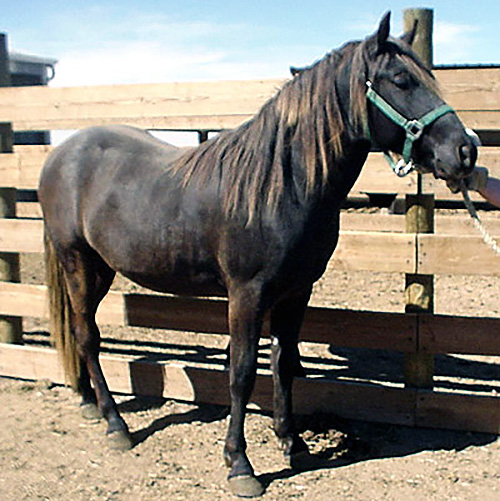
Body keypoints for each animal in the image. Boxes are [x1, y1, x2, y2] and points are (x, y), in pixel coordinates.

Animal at [38, 12, 477, 498]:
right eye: (401, 80)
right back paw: (116, 425)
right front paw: (239, 464)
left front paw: (293, 443)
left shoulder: (296, 292)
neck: (280, 186)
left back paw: (88, 402)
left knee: (80, 332)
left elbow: (283, 364)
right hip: (78, 262)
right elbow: (243, 371)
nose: (466, 151)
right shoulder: (246, 295)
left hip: (101, 269)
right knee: (86, 335)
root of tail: (61, 154)